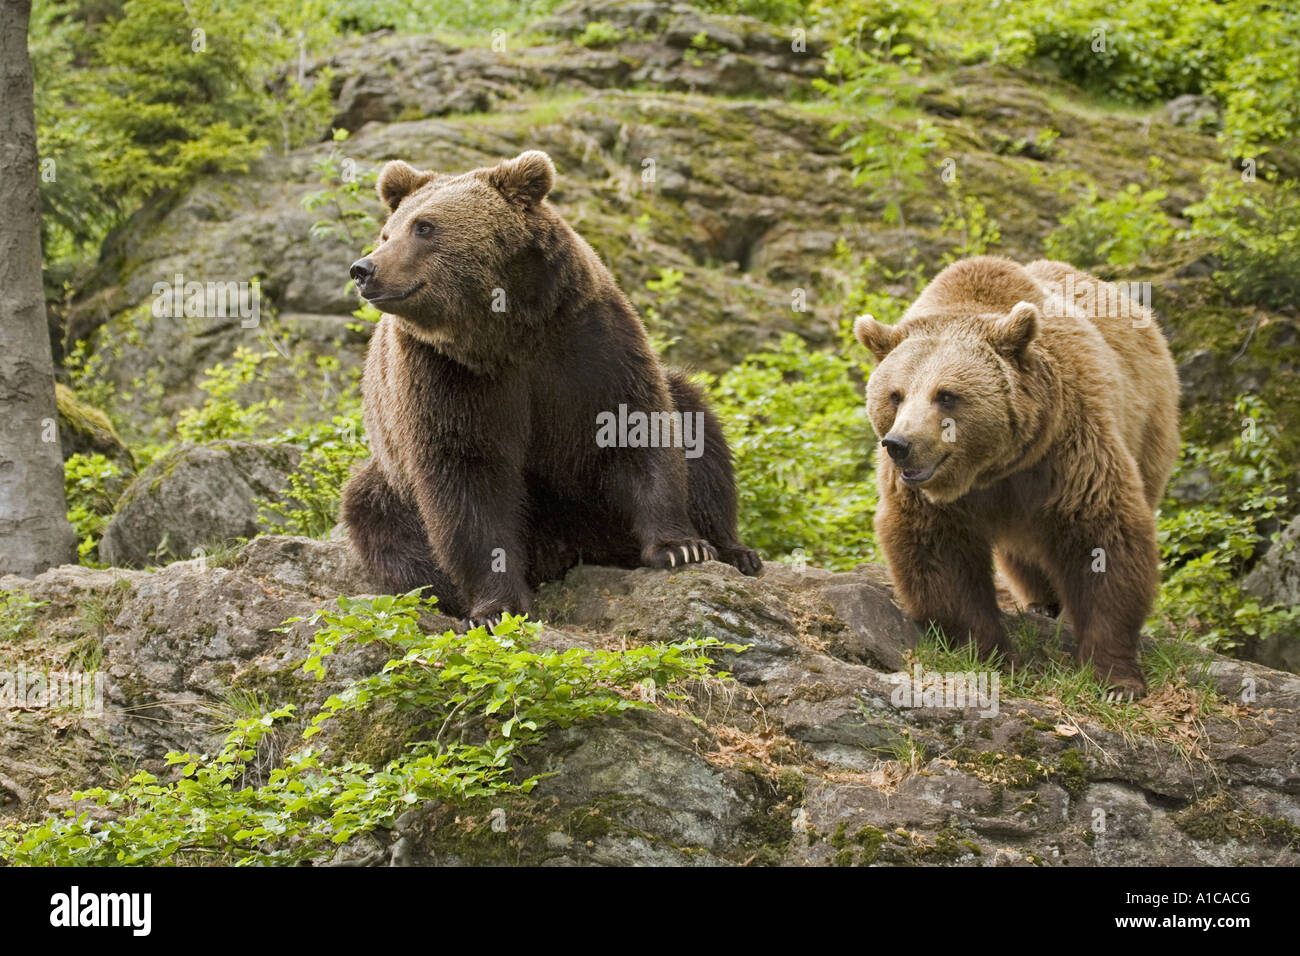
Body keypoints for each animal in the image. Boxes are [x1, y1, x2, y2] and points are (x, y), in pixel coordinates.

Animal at [341, 150, 761, 623]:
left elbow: (637, 425)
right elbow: (466, 480)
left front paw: (680, 546)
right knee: (377, 518)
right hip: (391, 484)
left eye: (424, 226)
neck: (505, 333)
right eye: (387, 231)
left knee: (699, 425)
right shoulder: (444, 374)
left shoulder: (585, 338)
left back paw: (736, 550)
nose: (364, 268)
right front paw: (496, 606)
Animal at [853, 256, 1180, 698]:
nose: (899, 443)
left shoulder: (1070, 447)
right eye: (895, 394)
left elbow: (1101, 538)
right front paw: (993, 654)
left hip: (1149, 426)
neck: (992, 468)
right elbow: (939, 556)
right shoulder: (925, 496)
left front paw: (1115, 674)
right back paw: (1041, 601)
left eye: (946, 394)